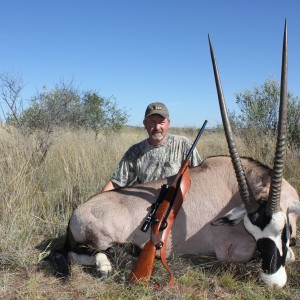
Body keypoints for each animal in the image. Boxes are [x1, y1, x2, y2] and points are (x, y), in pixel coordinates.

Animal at [50, 21, 298, 288]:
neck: (239, 186)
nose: (272, 279)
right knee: (84, 253)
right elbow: (288, 255)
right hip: (96, 240)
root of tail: (75, 214)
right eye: (253, 233)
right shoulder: (230, 247)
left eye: (284, 229)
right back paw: (110, 264)